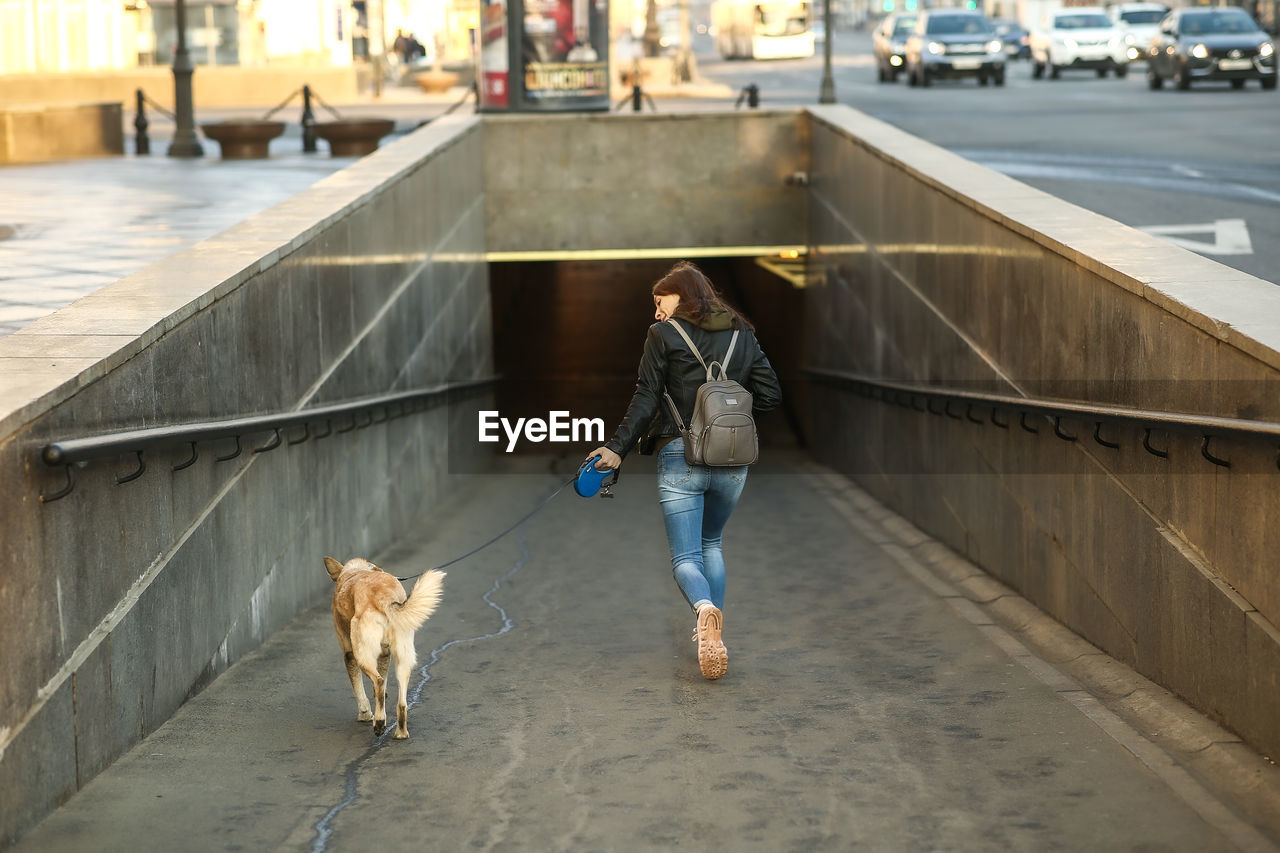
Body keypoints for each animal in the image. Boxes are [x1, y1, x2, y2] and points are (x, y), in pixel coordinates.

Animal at [325, 555, 445, 732]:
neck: (356, 571)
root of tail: (384, 599)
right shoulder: (384, 655)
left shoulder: (349, 654)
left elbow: (359, 689)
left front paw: (365, 714)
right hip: (403, 657)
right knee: (401, 701)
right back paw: (400, 731)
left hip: (362, 654)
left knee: (379, 682)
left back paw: (379, 723)